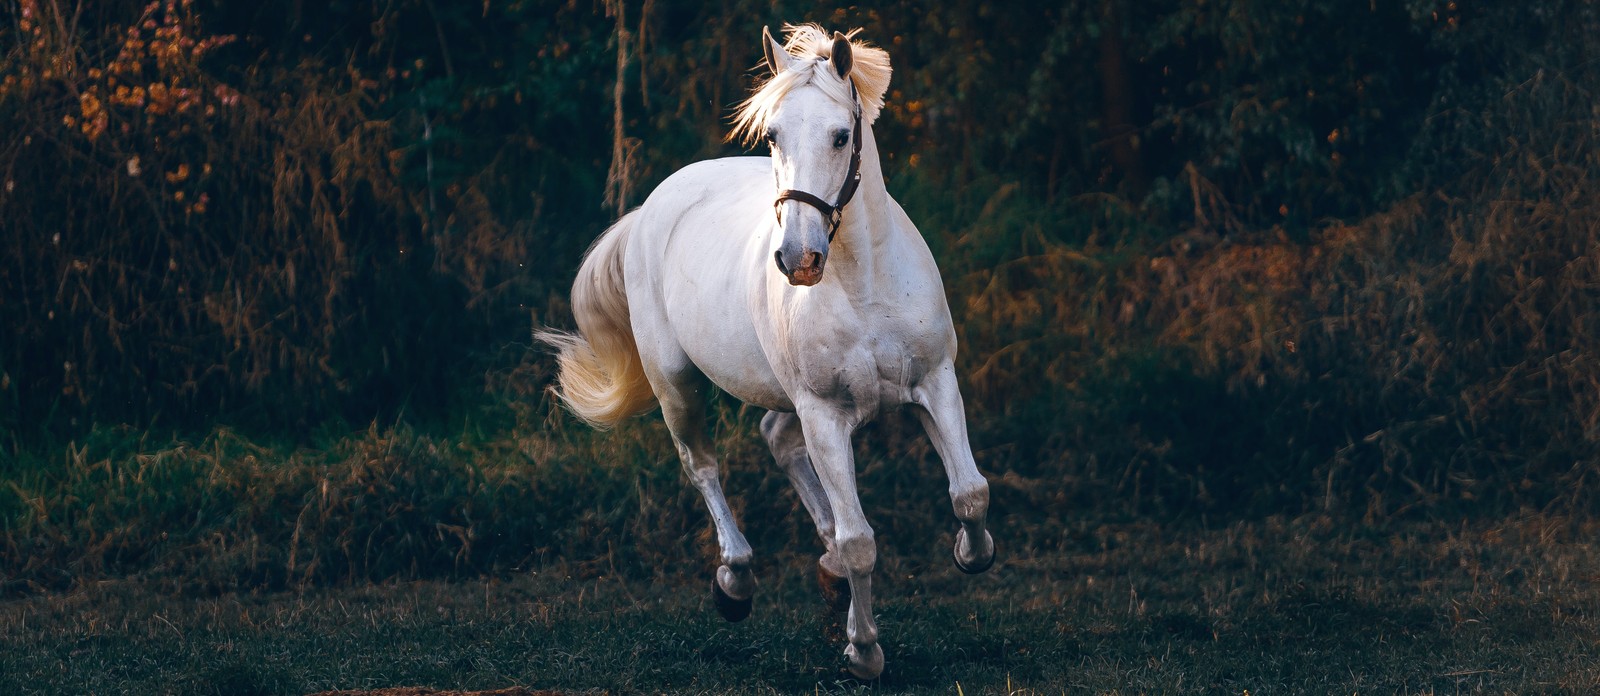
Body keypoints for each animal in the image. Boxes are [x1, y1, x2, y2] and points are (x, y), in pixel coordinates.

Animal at [536, 24, 995, 680]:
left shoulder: (935, 382)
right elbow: (860, 541)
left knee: (776, 438)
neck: (865, 283)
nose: (797, 259)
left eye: (841, 135)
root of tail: (652, 207)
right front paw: (863, 651)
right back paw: (735, 581)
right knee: (702, 465)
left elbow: (969, 493)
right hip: (677, 383)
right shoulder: (825, 413)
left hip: (784, 396)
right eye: (773, 134)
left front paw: (966, 553)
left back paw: (824, 572)